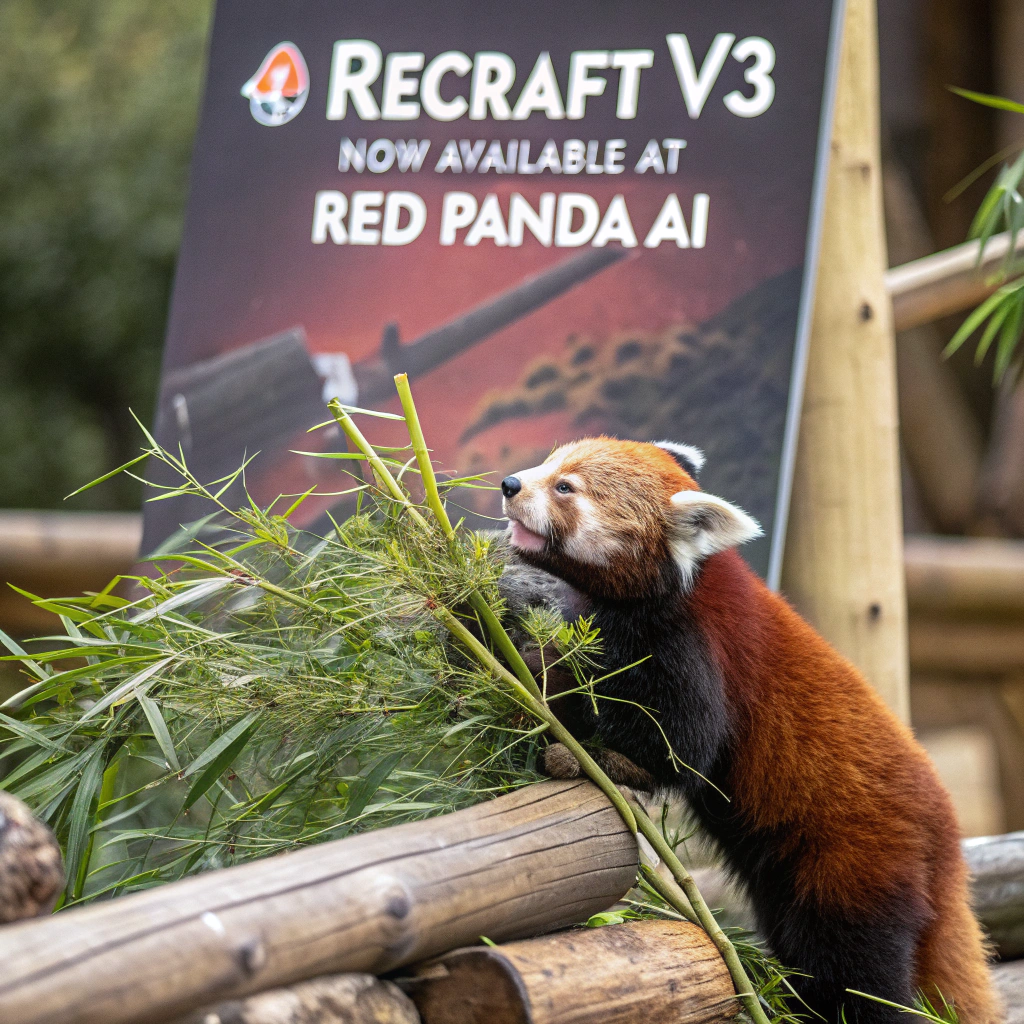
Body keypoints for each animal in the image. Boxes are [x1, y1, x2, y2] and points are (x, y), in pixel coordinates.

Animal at [498, 435, 997, 1024]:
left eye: (564, 488)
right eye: (549, 463)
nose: (509, 484)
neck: (680, 582)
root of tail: (945, 839)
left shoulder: (692, 646)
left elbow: (681, 742)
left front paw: (567, 720)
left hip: (856, 862)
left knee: (857, 974)